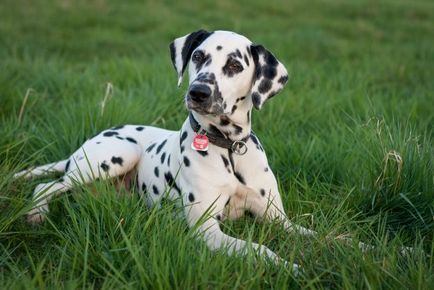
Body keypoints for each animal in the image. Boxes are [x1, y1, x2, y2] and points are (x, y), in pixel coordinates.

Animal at [16, 30, 316, 274]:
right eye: (198, 56)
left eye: (234, 65)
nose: (198, 92)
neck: (229, 147)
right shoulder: (207, 230)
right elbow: (258, 248)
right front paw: (289, 266)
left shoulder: (275, 216)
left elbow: (306, 232)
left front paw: (326, 244)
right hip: (114, 156)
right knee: (46, 186)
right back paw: (37, 212)